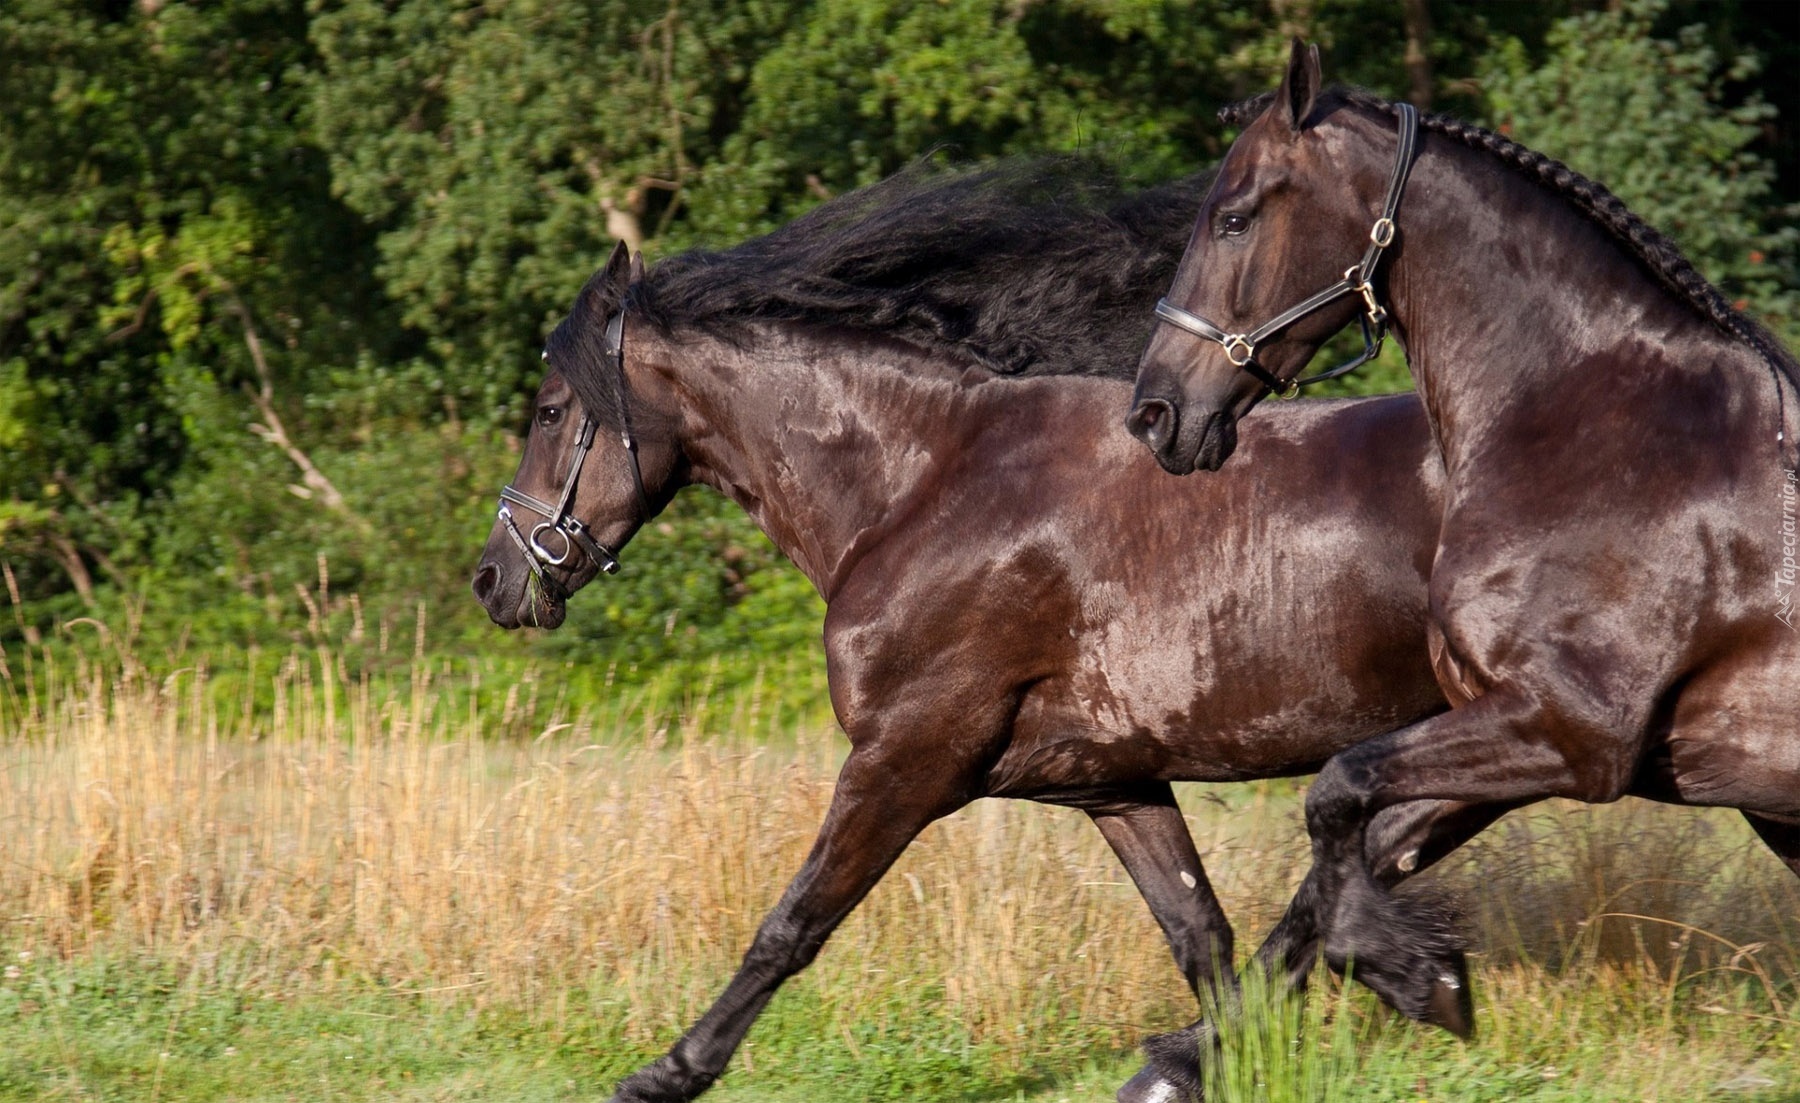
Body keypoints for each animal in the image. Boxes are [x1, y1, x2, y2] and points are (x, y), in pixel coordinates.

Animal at [478, 163, 1476, 1101]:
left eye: (551, 411)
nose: (495, 580)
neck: (921, 484)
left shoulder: (904, 760)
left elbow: (792, 925)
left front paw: (667, 1073)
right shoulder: (1113, 779)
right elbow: (1198, 928)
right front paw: (1209, 1062)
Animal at [1130, 36, 1792, 1086]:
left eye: (1234, 215)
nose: (1154, 412)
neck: (1600, 431)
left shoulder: (1572, 729)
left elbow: (1335, 796)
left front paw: (1417, 973)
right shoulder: (1506, 726)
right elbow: (1354, 847)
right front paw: (1193, 1058)